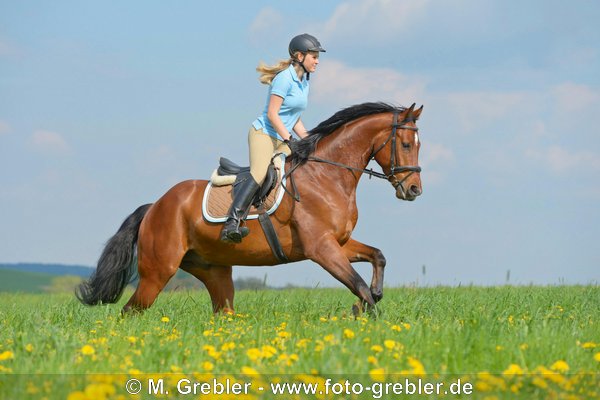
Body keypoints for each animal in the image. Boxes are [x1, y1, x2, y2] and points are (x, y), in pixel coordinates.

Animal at [76, 102, 422, 316]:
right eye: (406, 144)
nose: (414, 190)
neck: (327, 176)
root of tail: (154, 207)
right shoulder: (321, 248)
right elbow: (359, 286)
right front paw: (366, 314)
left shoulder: (338, 243)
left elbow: (377, 258)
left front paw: (372, 298)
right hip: (157, 272)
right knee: (128, 312)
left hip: (213, 270)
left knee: (223, 313)